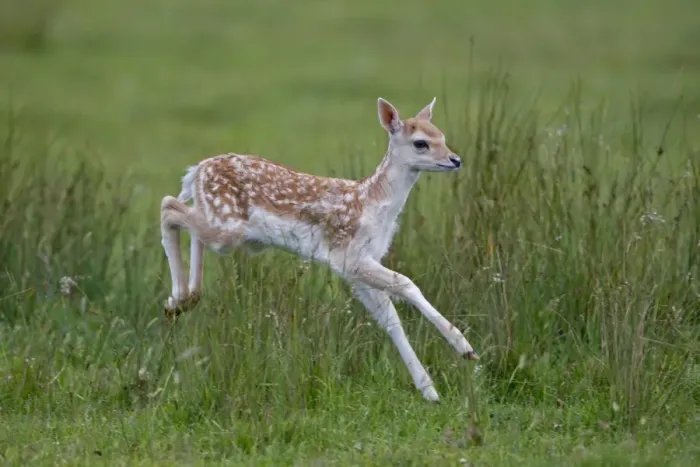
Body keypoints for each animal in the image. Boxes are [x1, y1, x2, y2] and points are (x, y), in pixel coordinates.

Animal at [159, 96, 479, 402]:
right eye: (421, 143)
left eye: (442, 136)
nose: (456, 159)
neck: (373, 204)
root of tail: (196, 170)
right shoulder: (348, 256)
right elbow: (406, 283)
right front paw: (465, 347)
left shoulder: (359, 268)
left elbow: (390, 319)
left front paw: (429, 391)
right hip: (226, 229)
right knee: (168, 207)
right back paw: (177, 299)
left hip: (222, 228)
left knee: (187, 222)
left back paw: (182, 300)